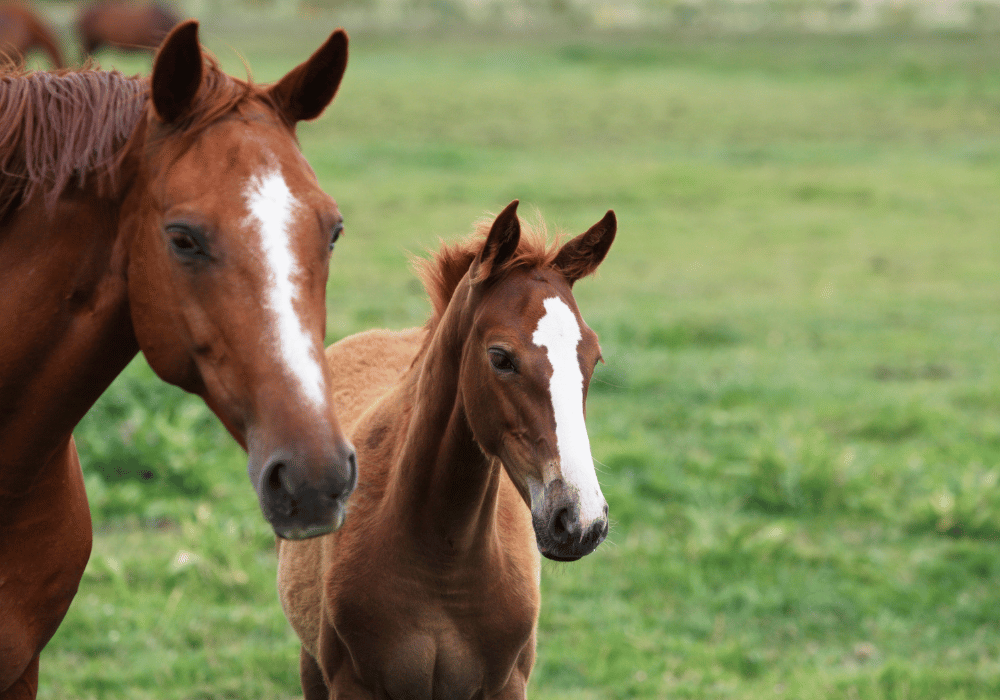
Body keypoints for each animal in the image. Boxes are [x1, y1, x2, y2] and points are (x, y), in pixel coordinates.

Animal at [278, 201, 612, 700]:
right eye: (500, 357)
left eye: (593, 357)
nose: (580, 522)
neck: (444, 561)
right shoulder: (350, 683)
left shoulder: (507, 685)